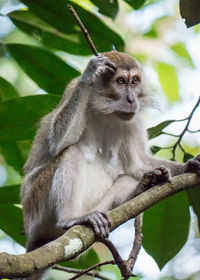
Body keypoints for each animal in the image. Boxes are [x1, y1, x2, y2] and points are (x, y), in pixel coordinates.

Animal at [20, 51, 200, 278]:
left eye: (134, 82)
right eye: (120, 81)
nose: (132, 99)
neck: (106, 110)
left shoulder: (133, 119)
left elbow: (137, 164)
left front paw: (190, 165)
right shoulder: (71, 90)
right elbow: (58, 143)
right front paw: (90, 73)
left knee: (127, 178)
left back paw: (143, 186)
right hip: (36, 208)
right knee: (71, 152)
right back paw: (69, 219)